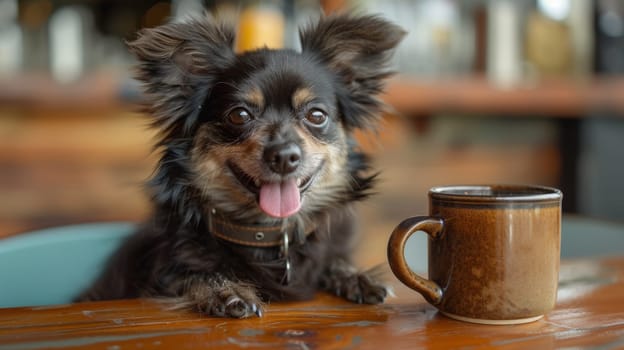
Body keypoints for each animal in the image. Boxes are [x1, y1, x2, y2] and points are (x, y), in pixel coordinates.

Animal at [77, 13, 404, 318]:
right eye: (240, 115)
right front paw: (226, 291)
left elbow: (335, 261)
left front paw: (356, 277)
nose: (284, 156)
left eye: (316, 115)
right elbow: (196, 274)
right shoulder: (161, 275)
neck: (269, 233)